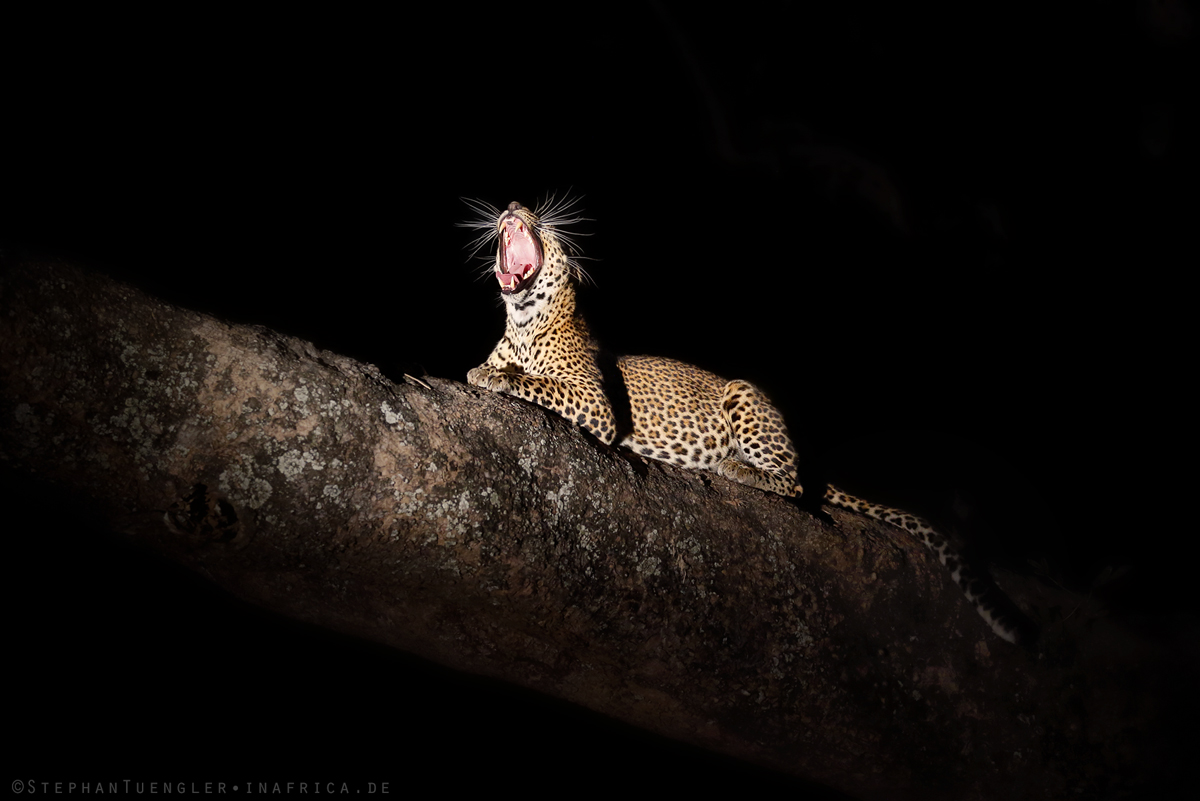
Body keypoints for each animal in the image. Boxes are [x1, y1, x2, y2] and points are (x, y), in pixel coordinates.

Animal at [463, 194, 1027, 642]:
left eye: (537, 216)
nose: (514, 204)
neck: (522, 324)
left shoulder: (596, 404)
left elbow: (535, 382)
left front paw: (492, 376)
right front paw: (485, 370)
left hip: (745, 397)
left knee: (793, 482)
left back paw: (737, 467)